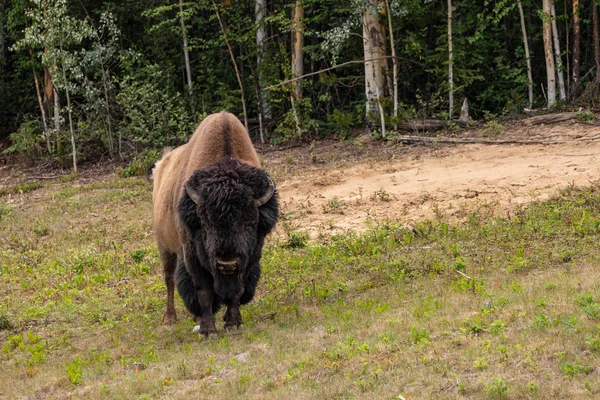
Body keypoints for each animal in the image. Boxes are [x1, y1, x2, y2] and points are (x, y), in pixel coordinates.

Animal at [152, 111, 278, 334]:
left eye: (250, 222)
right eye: (205, 222)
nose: (227, 264)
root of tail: (161, 164)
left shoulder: (250, 257)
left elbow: (238, 290)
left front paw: (233, 323)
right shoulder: (193, 255)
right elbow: (204, 292)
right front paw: (208, 330)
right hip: (164, 245)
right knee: (169, 278)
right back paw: (169, 319)